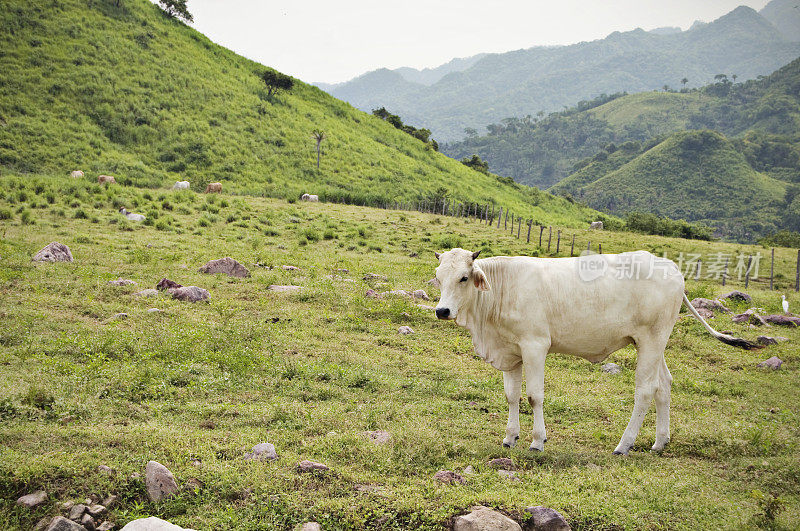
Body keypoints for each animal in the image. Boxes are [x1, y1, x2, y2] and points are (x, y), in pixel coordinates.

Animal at [434, 247, 760, 456]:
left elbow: (534, 396)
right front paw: (509, 437)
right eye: (439, 278)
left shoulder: (535, 346)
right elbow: (511, 396)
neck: (503, 288)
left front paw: (537, 441)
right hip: (653, 344)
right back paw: (660, 442)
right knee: (664, 386)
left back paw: (624, 445)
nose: (442, 310)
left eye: (464, 277)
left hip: (652, 340)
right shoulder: (511, 352)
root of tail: (671, 268)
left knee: (645, 390)